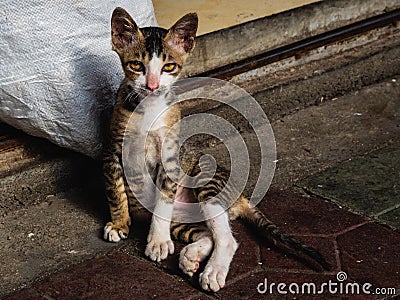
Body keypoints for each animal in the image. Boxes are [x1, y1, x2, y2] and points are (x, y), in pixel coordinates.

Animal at [104, 7, 332, 292]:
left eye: (169, 67)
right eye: (137, 65)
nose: (153, 86)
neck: (148, 109)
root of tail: (240, 195)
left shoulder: (169, 156)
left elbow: (163, 199)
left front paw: (157, 241)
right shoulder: (112, 150)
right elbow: (115, 190)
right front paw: (119, 223)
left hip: (206, 178)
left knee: (226, 238)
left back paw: (211, 270)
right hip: (184, 218)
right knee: (207, 234)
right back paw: (190, 257)